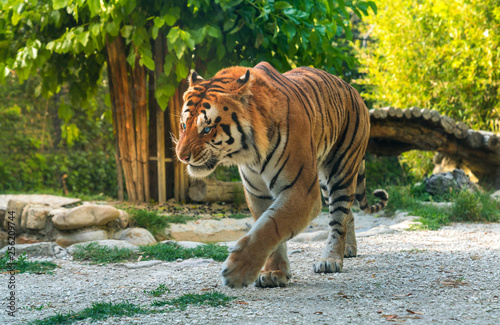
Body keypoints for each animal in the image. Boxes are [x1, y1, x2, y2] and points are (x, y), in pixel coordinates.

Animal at [174, 62, 388, 288]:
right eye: (183, 125)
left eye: (207, 129)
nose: (181, 156)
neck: (251, 155)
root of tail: (352, 88)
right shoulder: (257, 193)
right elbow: (266, 224)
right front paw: (273, 272)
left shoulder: (302, 191)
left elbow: (271, 226)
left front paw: (238, 271)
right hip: (323, 181)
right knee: (347, 213)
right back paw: (348, 249)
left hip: (341, 170)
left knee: (338, 217)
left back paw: (331, 260)